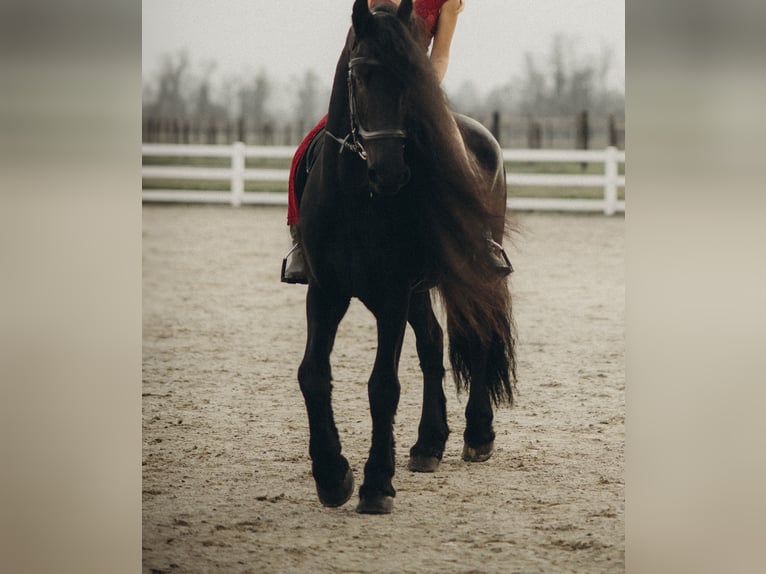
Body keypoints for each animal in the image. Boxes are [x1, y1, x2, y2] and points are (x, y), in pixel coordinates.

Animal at [295, 0, 516, 514]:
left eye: (412, 82)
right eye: (361, 76)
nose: (391, 173)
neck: (356, 196)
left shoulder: (391, 294)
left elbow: (383, 386)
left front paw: (376, 484)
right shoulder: (326, 290)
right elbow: (313, 374)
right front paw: (332, 477)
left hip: (471, 275)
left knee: (478, 339)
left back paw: (477, 435)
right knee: (433, 344)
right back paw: (427, 445)